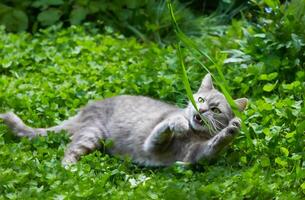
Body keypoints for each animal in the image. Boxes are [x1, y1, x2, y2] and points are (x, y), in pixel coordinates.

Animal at [0, 74, 247, 166]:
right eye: (200, 99)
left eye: (215, 109)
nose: (201, 110)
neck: (194, 134)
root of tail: (85, 109)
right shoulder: (153, 142)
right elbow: (165, 126)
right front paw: (179, 122)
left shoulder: (195, 156)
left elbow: (214, 144)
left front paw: (231, 130)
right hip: (92, 135)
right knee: (68, 152)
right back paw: (71, 170)